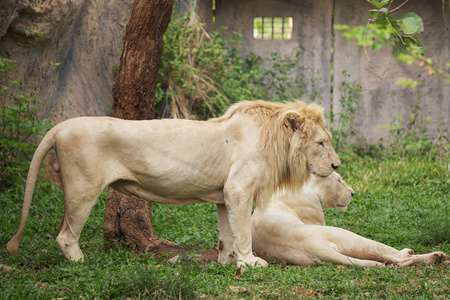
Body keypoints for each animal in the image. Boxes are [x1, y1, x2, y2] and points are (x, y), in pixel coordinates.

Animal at [7, 100, 342, 268]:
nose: (337, 165)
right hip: (83, 187)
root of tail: (59, 127)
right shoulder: (239, 190)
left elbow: (227, 234)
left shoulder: (224, 195)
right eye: (321, 143)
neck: (273, 141)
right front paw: (250, 262)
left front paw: (226, 262)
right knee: (65, 235)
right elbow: (243, 232)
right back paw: (81, 263)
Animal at [251, 172, 444, 266]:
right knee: (394, 257)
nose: (352, 193)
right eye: (339, 180)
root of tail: (315, 249)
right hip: (349, 237)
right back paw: (433, 256)